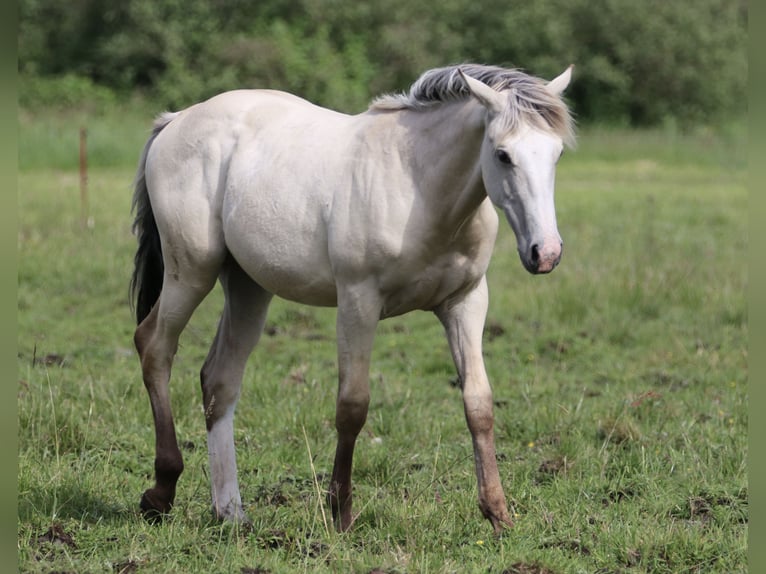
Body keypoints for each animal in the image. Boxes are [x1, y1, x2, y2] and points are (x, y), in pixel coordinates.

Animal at [132, 63, 576, 536]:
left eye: (556, 155)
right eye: (503, 154)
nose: (546, 253)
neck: (418, 185)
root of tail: (175, 121)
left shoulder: (466, 303)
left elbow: (478, 403)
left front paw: (498, 514)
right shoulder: (358, 302)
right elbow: (352, 406)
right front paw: (341, 513)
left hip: (247, 286)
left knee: (219, 380)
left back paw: (231, 512)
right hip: (191, 273)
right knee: (154, 347)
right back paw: (161, 492)